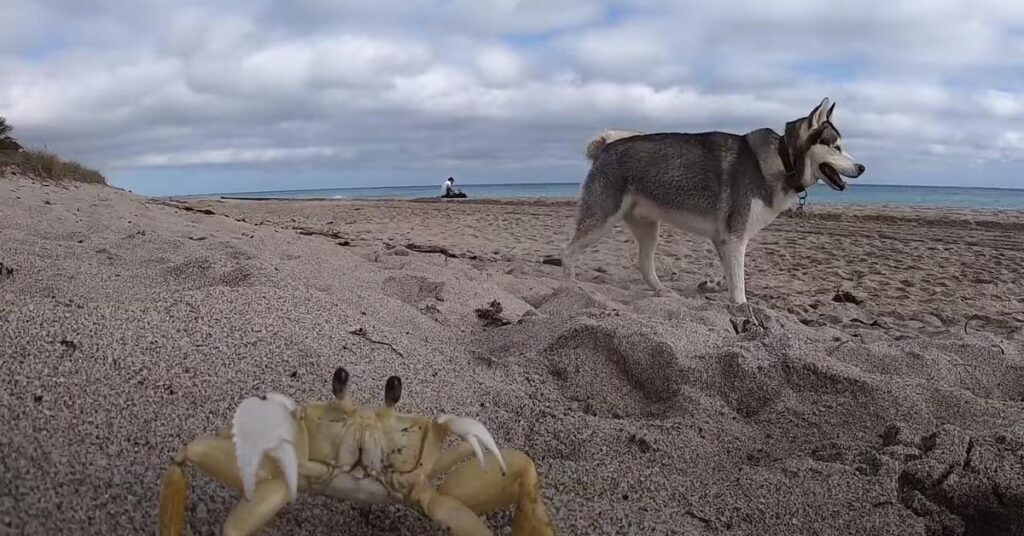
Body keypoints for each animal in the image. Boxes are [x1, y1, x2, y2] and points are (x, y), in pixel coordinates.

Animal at [561, 97, 864, 303]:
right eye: (836, 146)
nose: (861, 167)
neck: (783, 159)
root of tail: (605, 147)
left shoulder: (725, 239)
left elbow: (730, 276)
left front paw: (712, 286)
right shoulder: (737, 237)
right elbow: (739, 285)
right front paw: (742, 308)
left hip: (648, 228)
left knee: (644, 265)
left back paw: (663, 292)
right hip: (600, 222)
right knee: (568, 251)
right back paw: (571, 287)